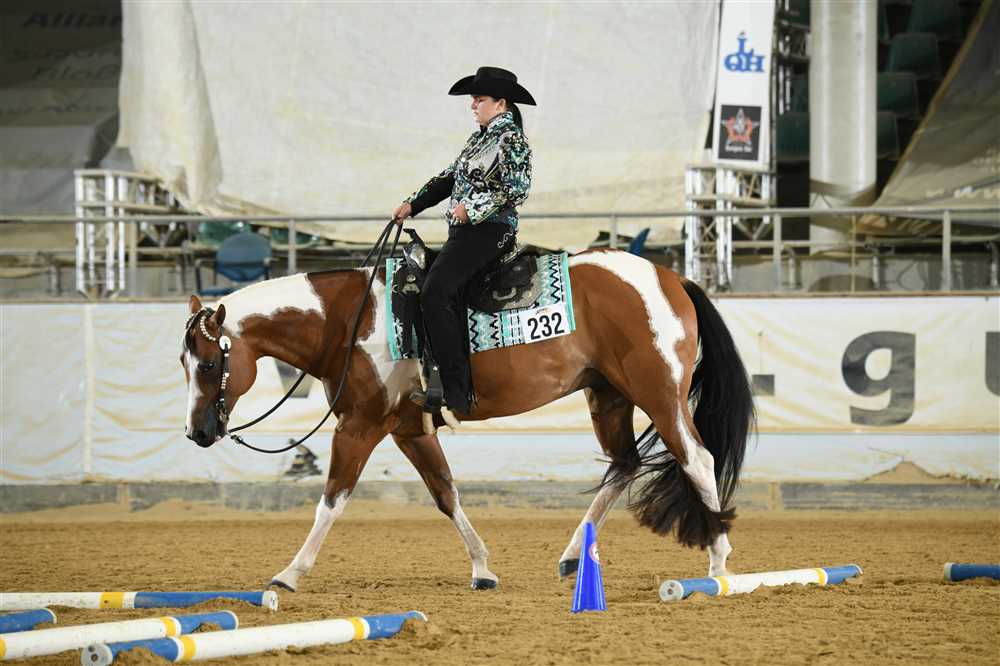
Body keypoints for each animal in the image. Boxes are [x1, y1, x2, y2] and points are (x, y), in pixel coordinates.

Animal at [180, 248, 755, 591]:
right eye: (183, 364)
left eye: (208, 363)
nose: (198, 432)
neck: (348, 321)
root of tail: (670, 277)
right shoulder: (408, 428)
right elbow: (446, 493)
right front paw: (482, 569)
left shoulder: (360, 426)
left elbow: (332, 500)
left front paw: (289, 573)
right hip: (608, 396)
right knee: (624, 466)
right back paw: (573, 557)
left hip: (659, 393)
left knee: (697, 461)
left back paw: (718, 562)